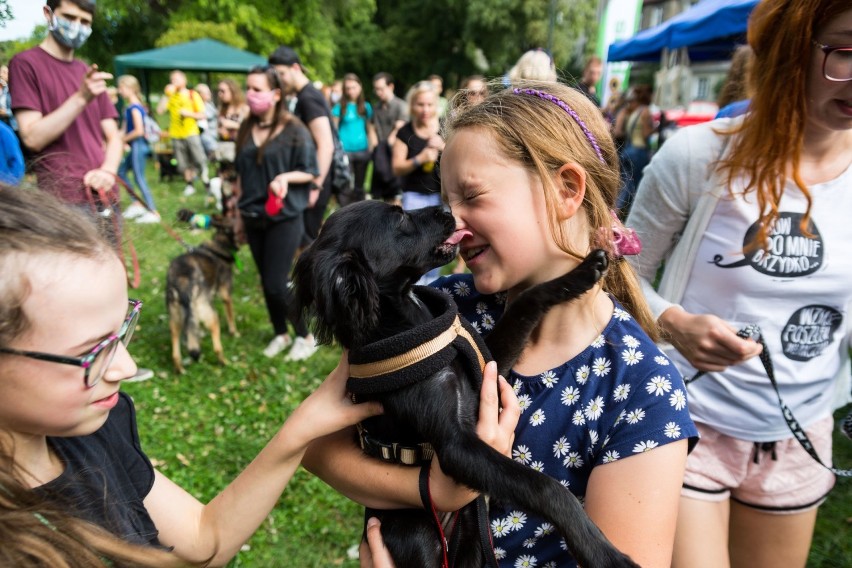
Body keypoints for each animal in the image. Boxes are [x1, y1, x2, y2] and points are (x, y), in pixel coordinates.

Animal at [166, 209, 240, 372]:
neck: (219, 245)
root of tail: (183, 282)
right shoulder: (226, 295)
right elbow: (231, 317)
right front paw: (235, 333)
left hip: (175, 322)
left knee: (175, 354)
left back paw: (181, 370)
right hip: (212, 317)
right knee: (217, 348)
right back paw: (225, 363)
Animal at [292, 201, 640, 568]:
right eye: (399, 217)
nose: (448, 209)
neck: (412, 325)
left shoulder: (490, 363)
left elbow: (526, 300)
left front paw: (581, 274)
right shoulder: (456, 445)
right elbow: (546, 488)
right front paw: (603, 553)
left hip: (472, 540)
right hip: (417, 537)